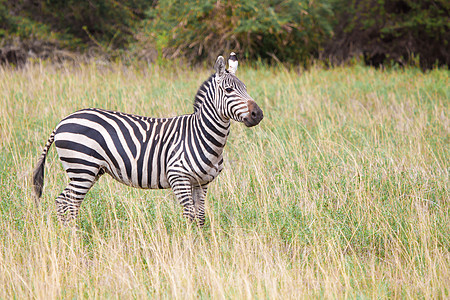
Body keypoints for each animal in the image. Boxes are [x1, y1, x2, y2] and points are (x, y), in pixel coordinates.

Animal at [32, 54, 264, 227]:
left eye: (245, 88)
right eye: (229, 90)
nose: (258, 114)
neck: (201, 135)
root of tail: (62, 122)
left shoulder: (202, 182)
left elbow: (199, 217)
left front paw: (201, 245)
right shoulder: (178, 177)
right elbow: (189, 216)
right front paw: (190, 249)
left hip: (89, 171)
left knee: (64, 201)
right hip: (82, 168)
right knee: (68, 203)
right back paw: (74, 237)